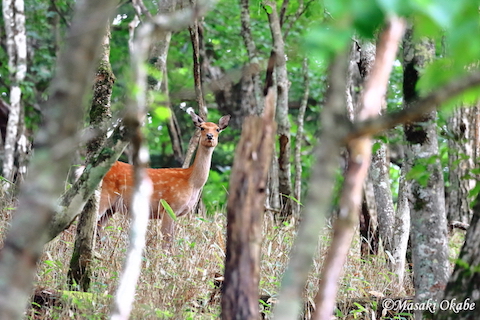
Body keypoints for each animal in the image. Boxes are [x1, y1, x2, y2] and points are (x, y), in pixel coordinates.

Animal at [97, 112, 231, 248]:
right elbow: (167, 241)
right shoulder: (169, 207)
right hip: (103, 196)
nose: (210, 136)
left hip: (111, 208)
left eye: (217, 129)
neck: (192, 182)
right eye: (202, 128)